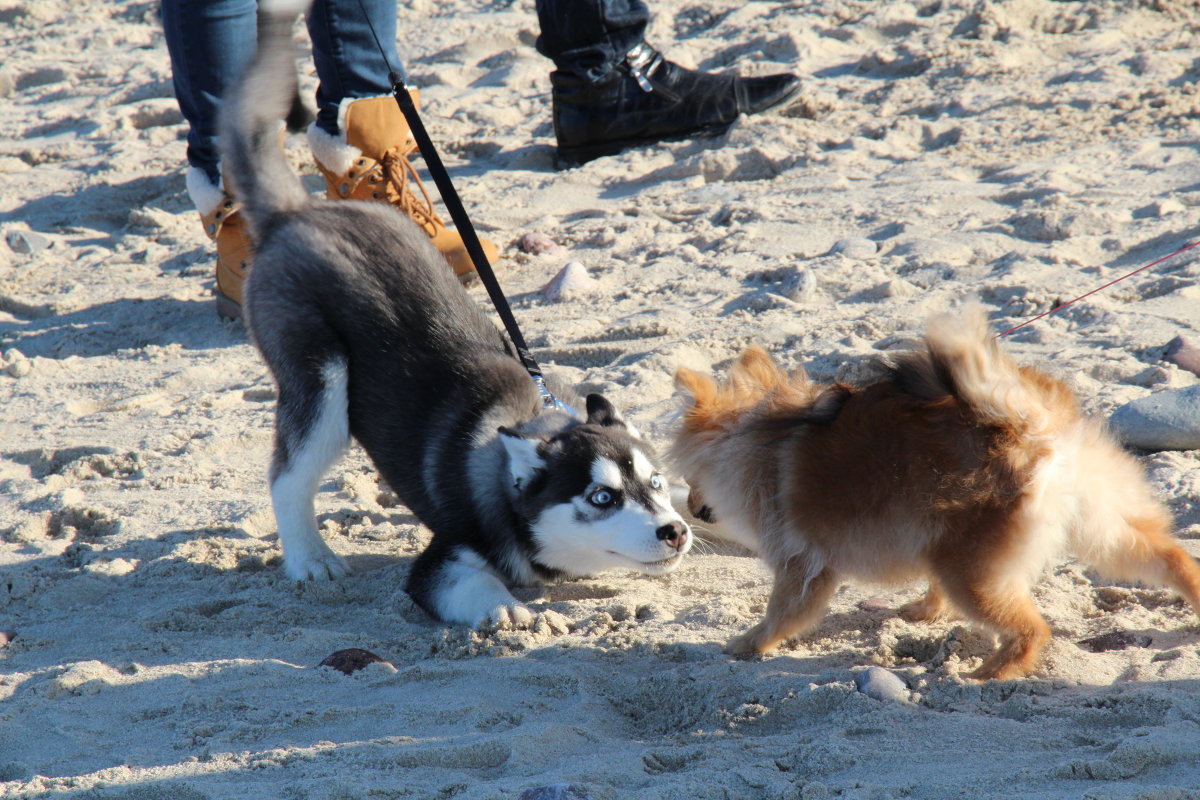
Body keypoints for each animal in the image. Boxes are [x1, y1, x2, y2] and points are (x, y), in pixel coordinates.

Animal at [219, 0, 691, 628]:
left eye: (656, 483)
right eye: (602, 498)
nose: (674, 532)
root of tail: (295, 213)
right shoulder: (442, 557)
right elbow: (470, 583)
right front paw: (507, 611)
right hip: (319, 378)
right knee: (288, 475)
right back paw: (310, 558)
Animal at [676, 309, 1200, 681]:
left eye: (690, 478)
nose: (692, 508)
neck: (756, 436)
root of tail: (1024, 420)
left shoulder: (801, 564)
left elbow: (781, 614)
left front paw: (747, 643)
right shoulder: (928, 536)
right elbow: (930, 587)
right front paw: (925, 611)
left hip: (974, 572)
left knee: (1033, 629)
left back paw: (991, 673)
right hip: (1101, 524)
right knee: (1171, 558)